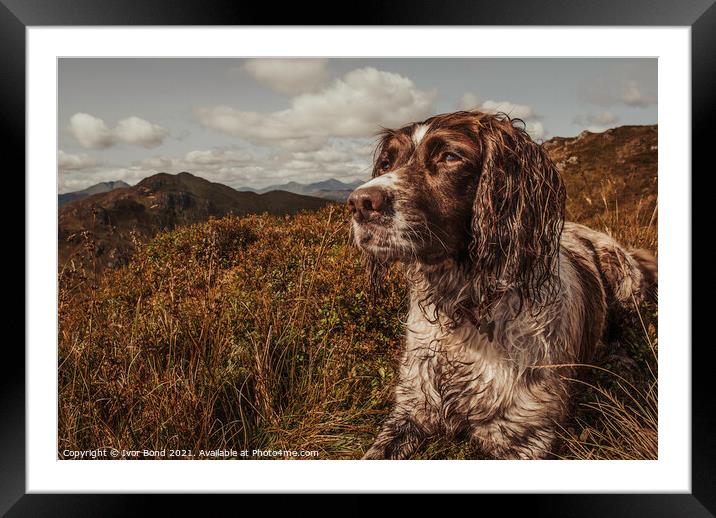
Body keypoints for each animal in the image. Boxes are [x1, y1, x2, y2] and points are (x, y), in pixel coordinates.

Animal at [350, 111, 656, 462]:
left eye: (450, 157)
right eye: (387, 163)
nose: (359, 204)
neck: (463, 307)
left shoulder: (524, 437)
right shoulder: (411, 408)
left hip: (620, 273)